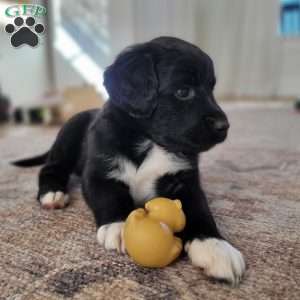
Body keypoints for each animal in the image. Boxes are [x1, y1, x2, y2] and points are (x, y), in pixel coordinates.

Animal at [12, 36, 245, 284]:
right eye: (183, 91)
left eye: (212, 89)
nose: (224, 126)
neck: (149, 141)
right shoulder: (98, 173)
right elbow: (110, 196)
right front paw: (120, 226)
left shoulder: (184, 180)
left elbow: (200, 209)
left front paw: (216, 247)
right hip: (67, 139)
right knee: (50, 168)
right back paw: (53, 193)